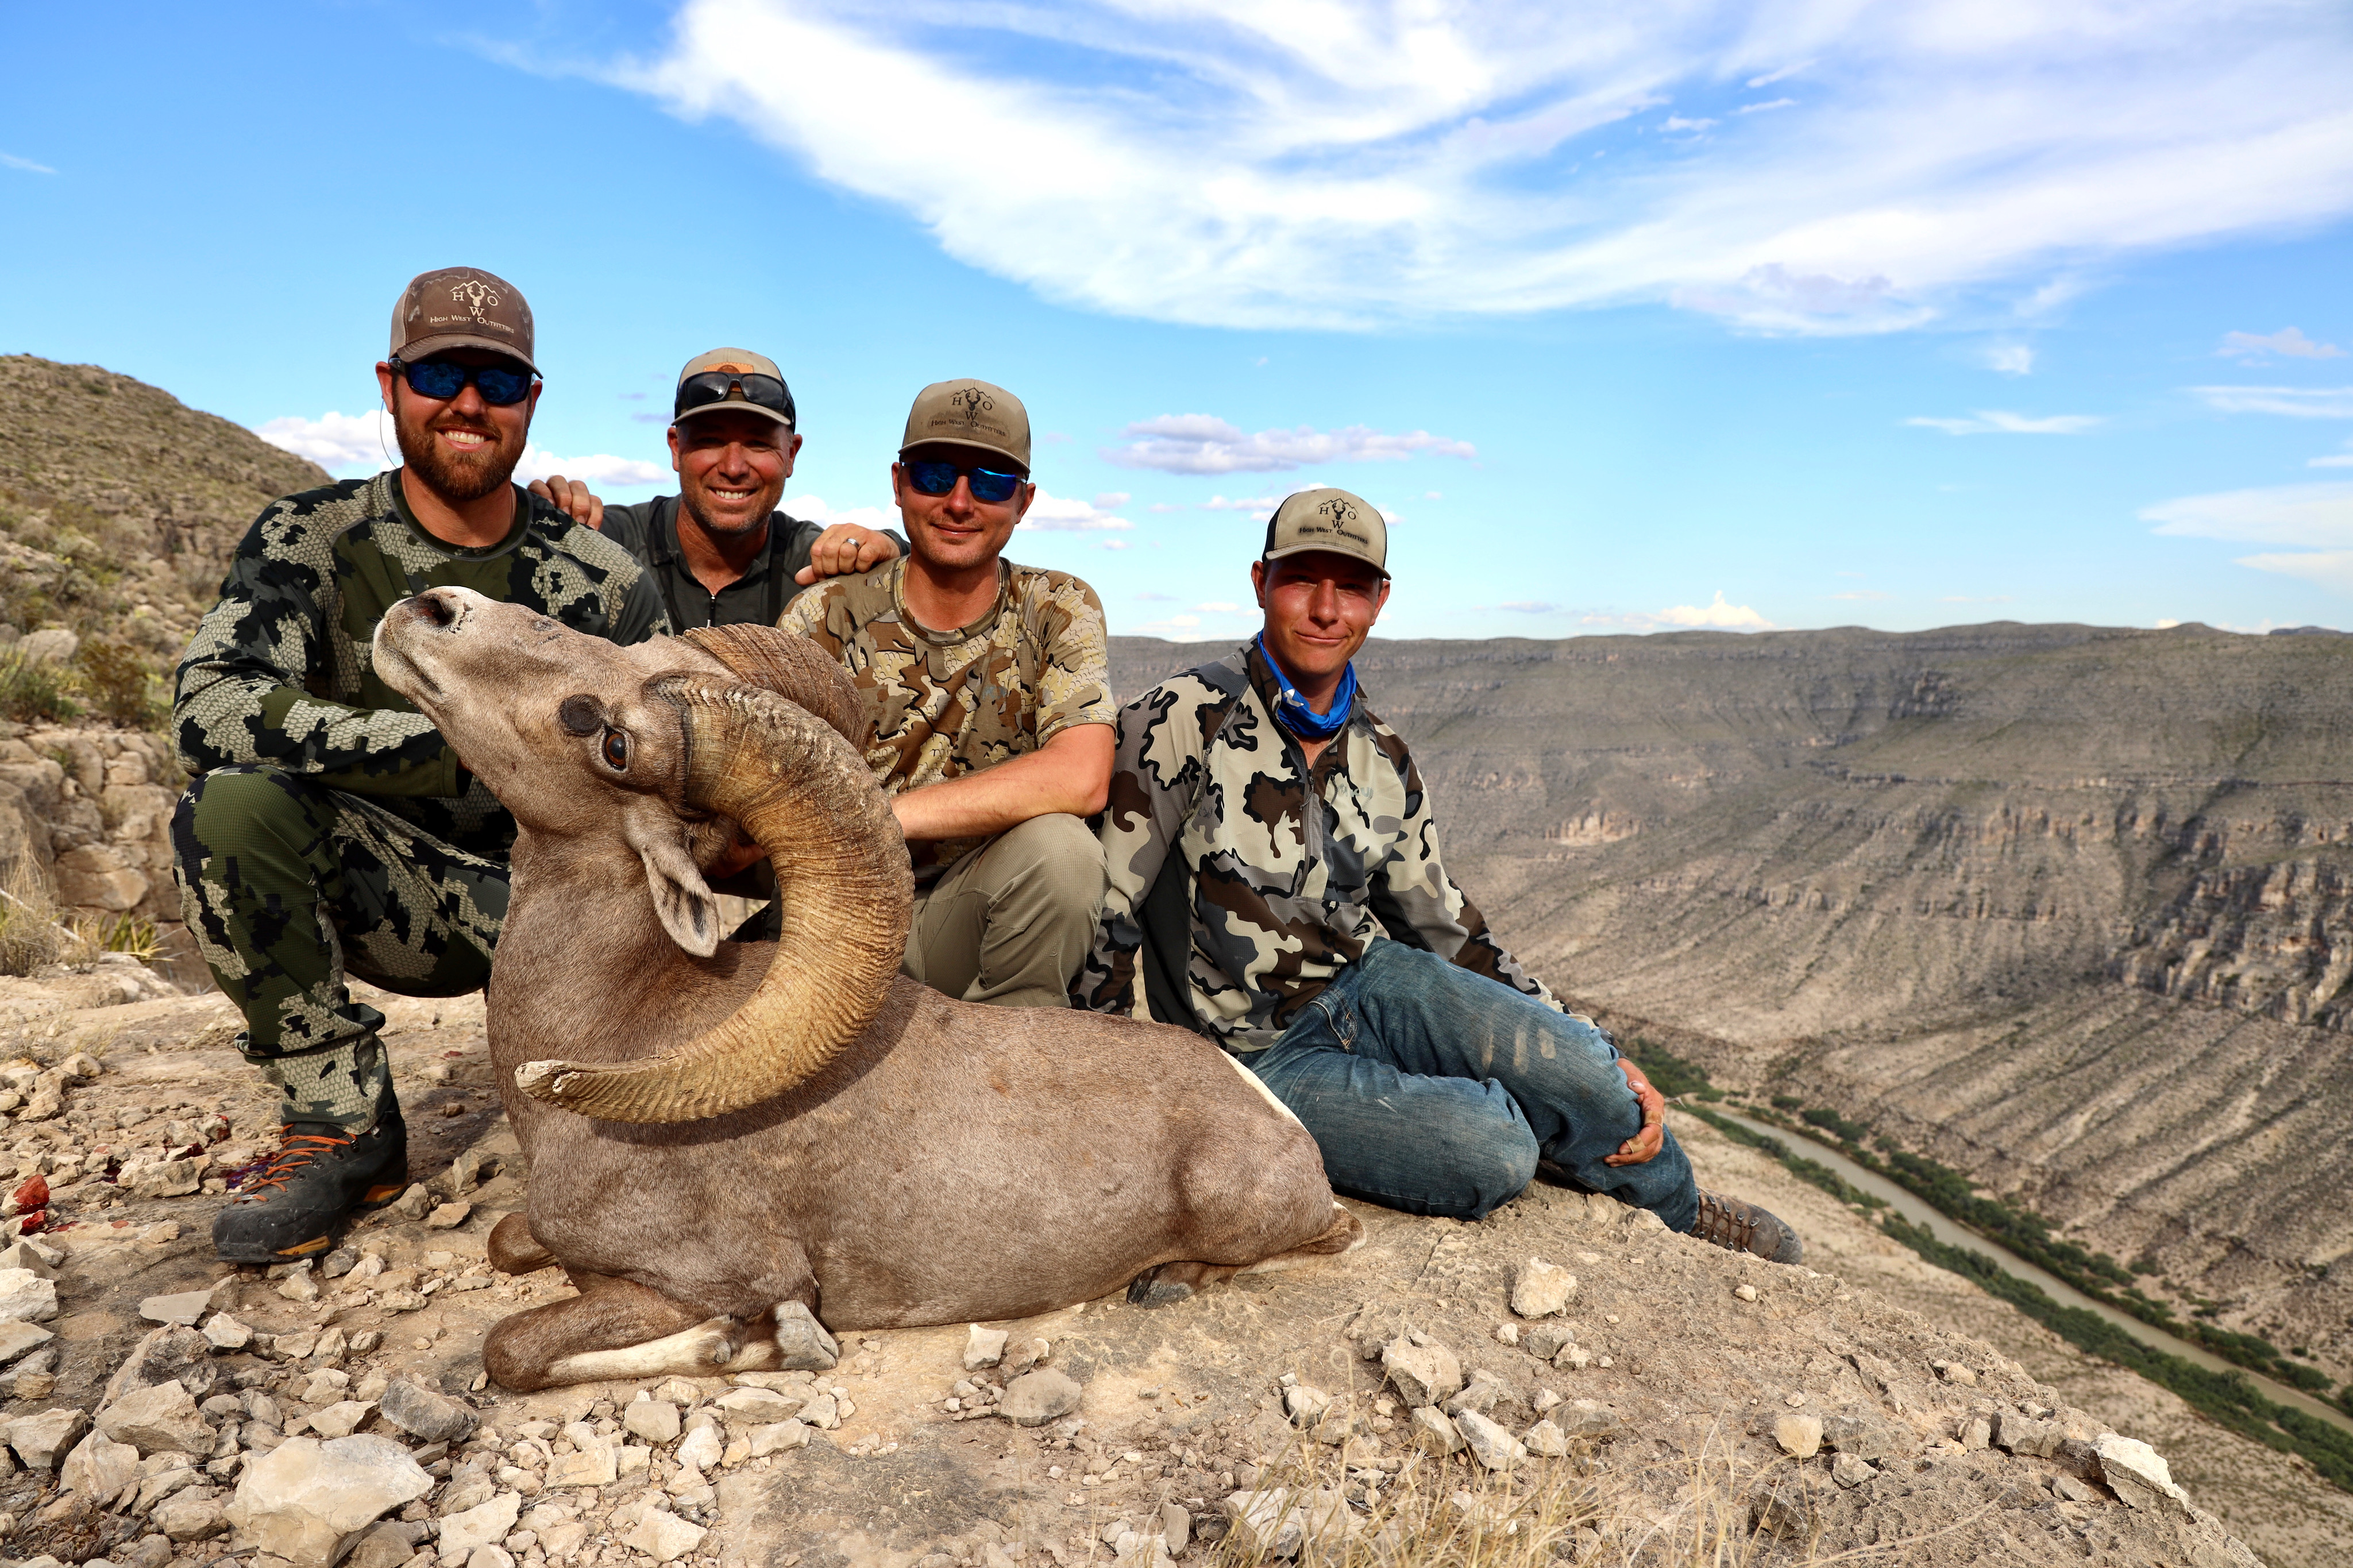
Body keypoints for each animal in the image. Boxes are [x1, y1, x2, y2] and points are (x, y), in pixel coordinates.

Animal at [371, 586, 1360, 1390]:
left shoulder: (718, 1274)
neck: (622, 1026)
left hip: (1248, 1214)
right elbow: (504, 1243)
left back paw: (1164, 1279)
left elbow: (512, 1348)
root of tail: (1277, 1117)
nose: (431, 608)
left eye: (606, 735)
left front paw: (763, 1343)